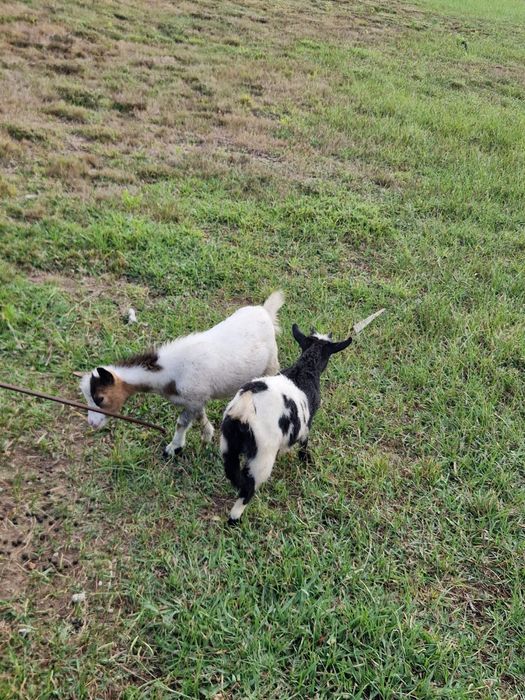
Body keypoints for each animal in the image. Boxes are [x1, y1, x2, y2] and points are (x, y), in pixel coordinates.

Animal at [80, 292, 284, 457]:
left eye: (100, 398)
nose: (92, 424)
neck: (169, 372)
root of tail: (265, 311)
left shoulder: (193, 397)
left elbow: (181, 423)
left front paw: (173, 448)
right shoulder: (197, 400)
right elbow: (200, 416)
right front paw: (207, 435)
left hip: (271, 362)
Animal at [220, 324, 353, 523]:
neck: (305, 369)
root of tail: (245, 408)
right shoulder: (306, 423)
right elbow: (304, 441)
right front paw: (305, 459)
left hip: (228, 443)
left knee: (233, 471)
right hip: (263, 454)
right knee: (249, 487)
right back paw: (235, 519)